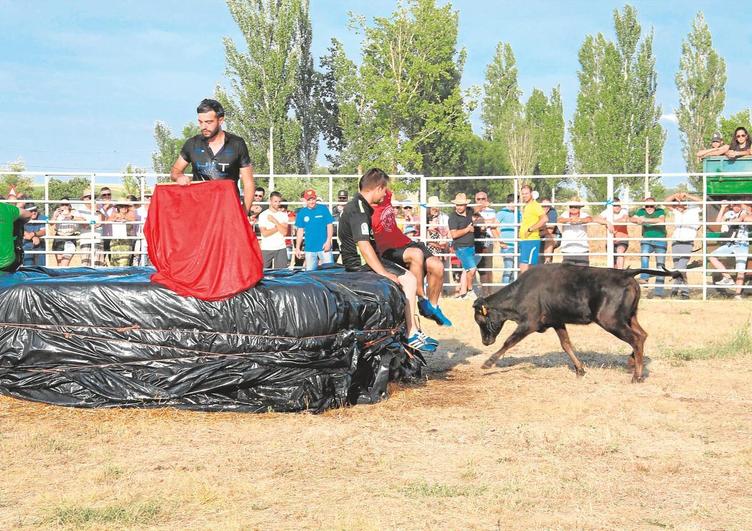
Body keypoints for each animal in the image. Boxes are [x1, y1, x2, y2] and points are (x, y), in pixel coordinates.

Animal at [476, 264, 680, 382]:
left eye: (480, 320)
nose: (485, 342)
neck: (522, 292)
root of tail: (625, 273)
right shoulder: (557, 322)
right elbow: (566, 344)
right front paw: (580, 370)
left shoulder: (529, 323)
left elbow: (509, 341)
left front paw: (488, 363)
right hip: (629, 317)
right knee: (642, 335)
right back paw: (632, 363)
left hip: (611, 320)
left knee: (636, 339)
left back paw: (637, 376)